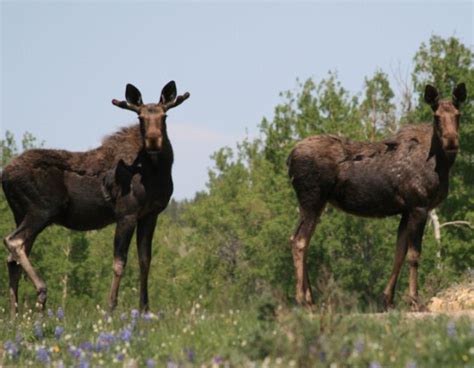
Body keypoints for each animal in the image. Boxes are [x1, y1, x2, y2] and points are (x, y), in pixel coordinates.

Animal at [2, 80, 191, 316]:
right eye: (140, 118)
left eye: (164, 116)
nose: (153, 140)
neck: (155, 172)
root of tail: (3, 175)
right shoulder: (127, 213)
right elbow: (119, 262)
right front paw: (111, 308)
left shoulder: (150, 214)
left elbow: (145, 260)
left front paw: (145, 309)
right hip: (41, 210)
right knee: (13, 241)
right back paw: (41, 291)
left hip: (21, 213)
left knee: (13, 260)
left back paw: (15, 314)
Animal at [288, 83, 466, 310]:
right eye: (436, 116)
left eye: (458, 114)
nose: (451, 141)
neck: (440, 166)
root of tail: (289, 158)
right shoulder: (419, 206)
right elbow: (414, 255)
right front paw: (414, 300)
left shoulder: (406, 210)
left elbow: (399, 253)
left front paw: (388, 299)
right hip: (311, 199)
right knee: (299, 241)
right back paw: (303, 300)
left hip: (315, 204)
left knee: (301, 240)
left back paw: (310, 299)